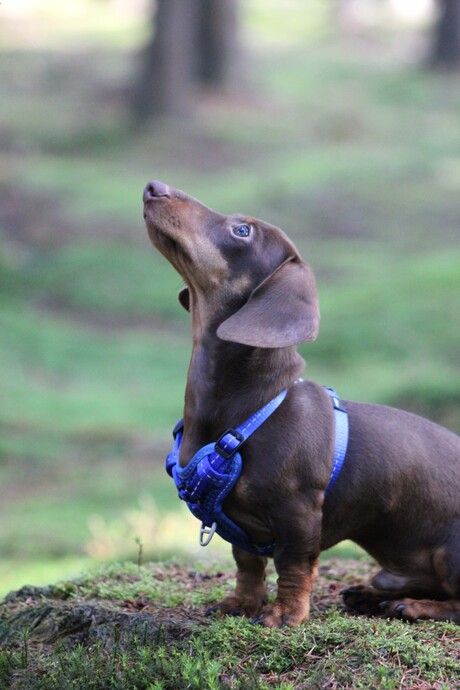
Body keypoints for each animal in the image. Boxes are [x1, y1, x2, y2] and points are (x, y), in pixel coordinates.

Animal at [142, 180, 458, 628]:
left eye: (243, 230)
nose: (155, 187)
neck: (246, 403)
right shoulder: (242, 529)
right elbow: (247, 564)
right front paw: (242, 602)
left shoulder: (299, 511)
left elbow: (292, 565)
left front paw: (284, 613)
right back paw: (370, 596)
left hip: (453, 551)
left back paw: (415, 606)